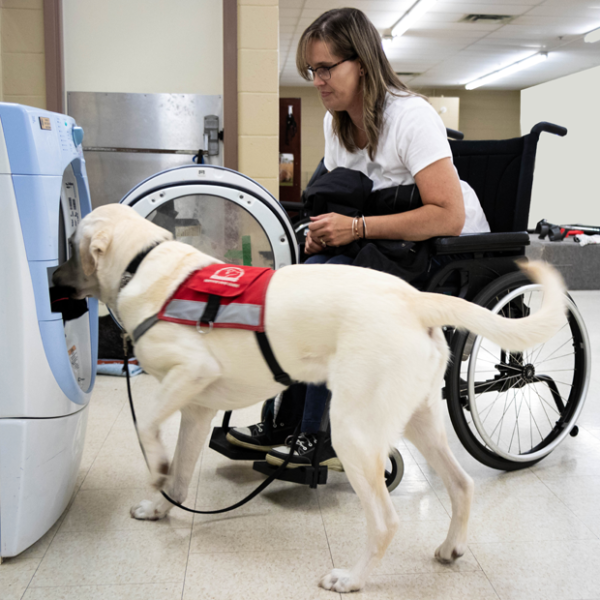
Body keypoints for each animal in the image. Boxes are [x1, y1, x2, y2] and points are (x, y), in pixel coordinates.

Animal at [52, 204, 568, 592]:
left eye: (70, 242)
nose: (52, 276)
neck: (142, 264)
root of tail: (414, 299)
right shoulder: (198, 407)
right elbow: (179, 472)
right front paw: (161, 505)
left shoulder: (190, 373)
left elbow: (146, 426)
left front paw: (155, 468)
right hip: (418, 420)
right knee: (461, 485)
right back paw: (450, 547)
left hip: (355, 432)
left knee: (386, 521)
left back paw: (352, 579)